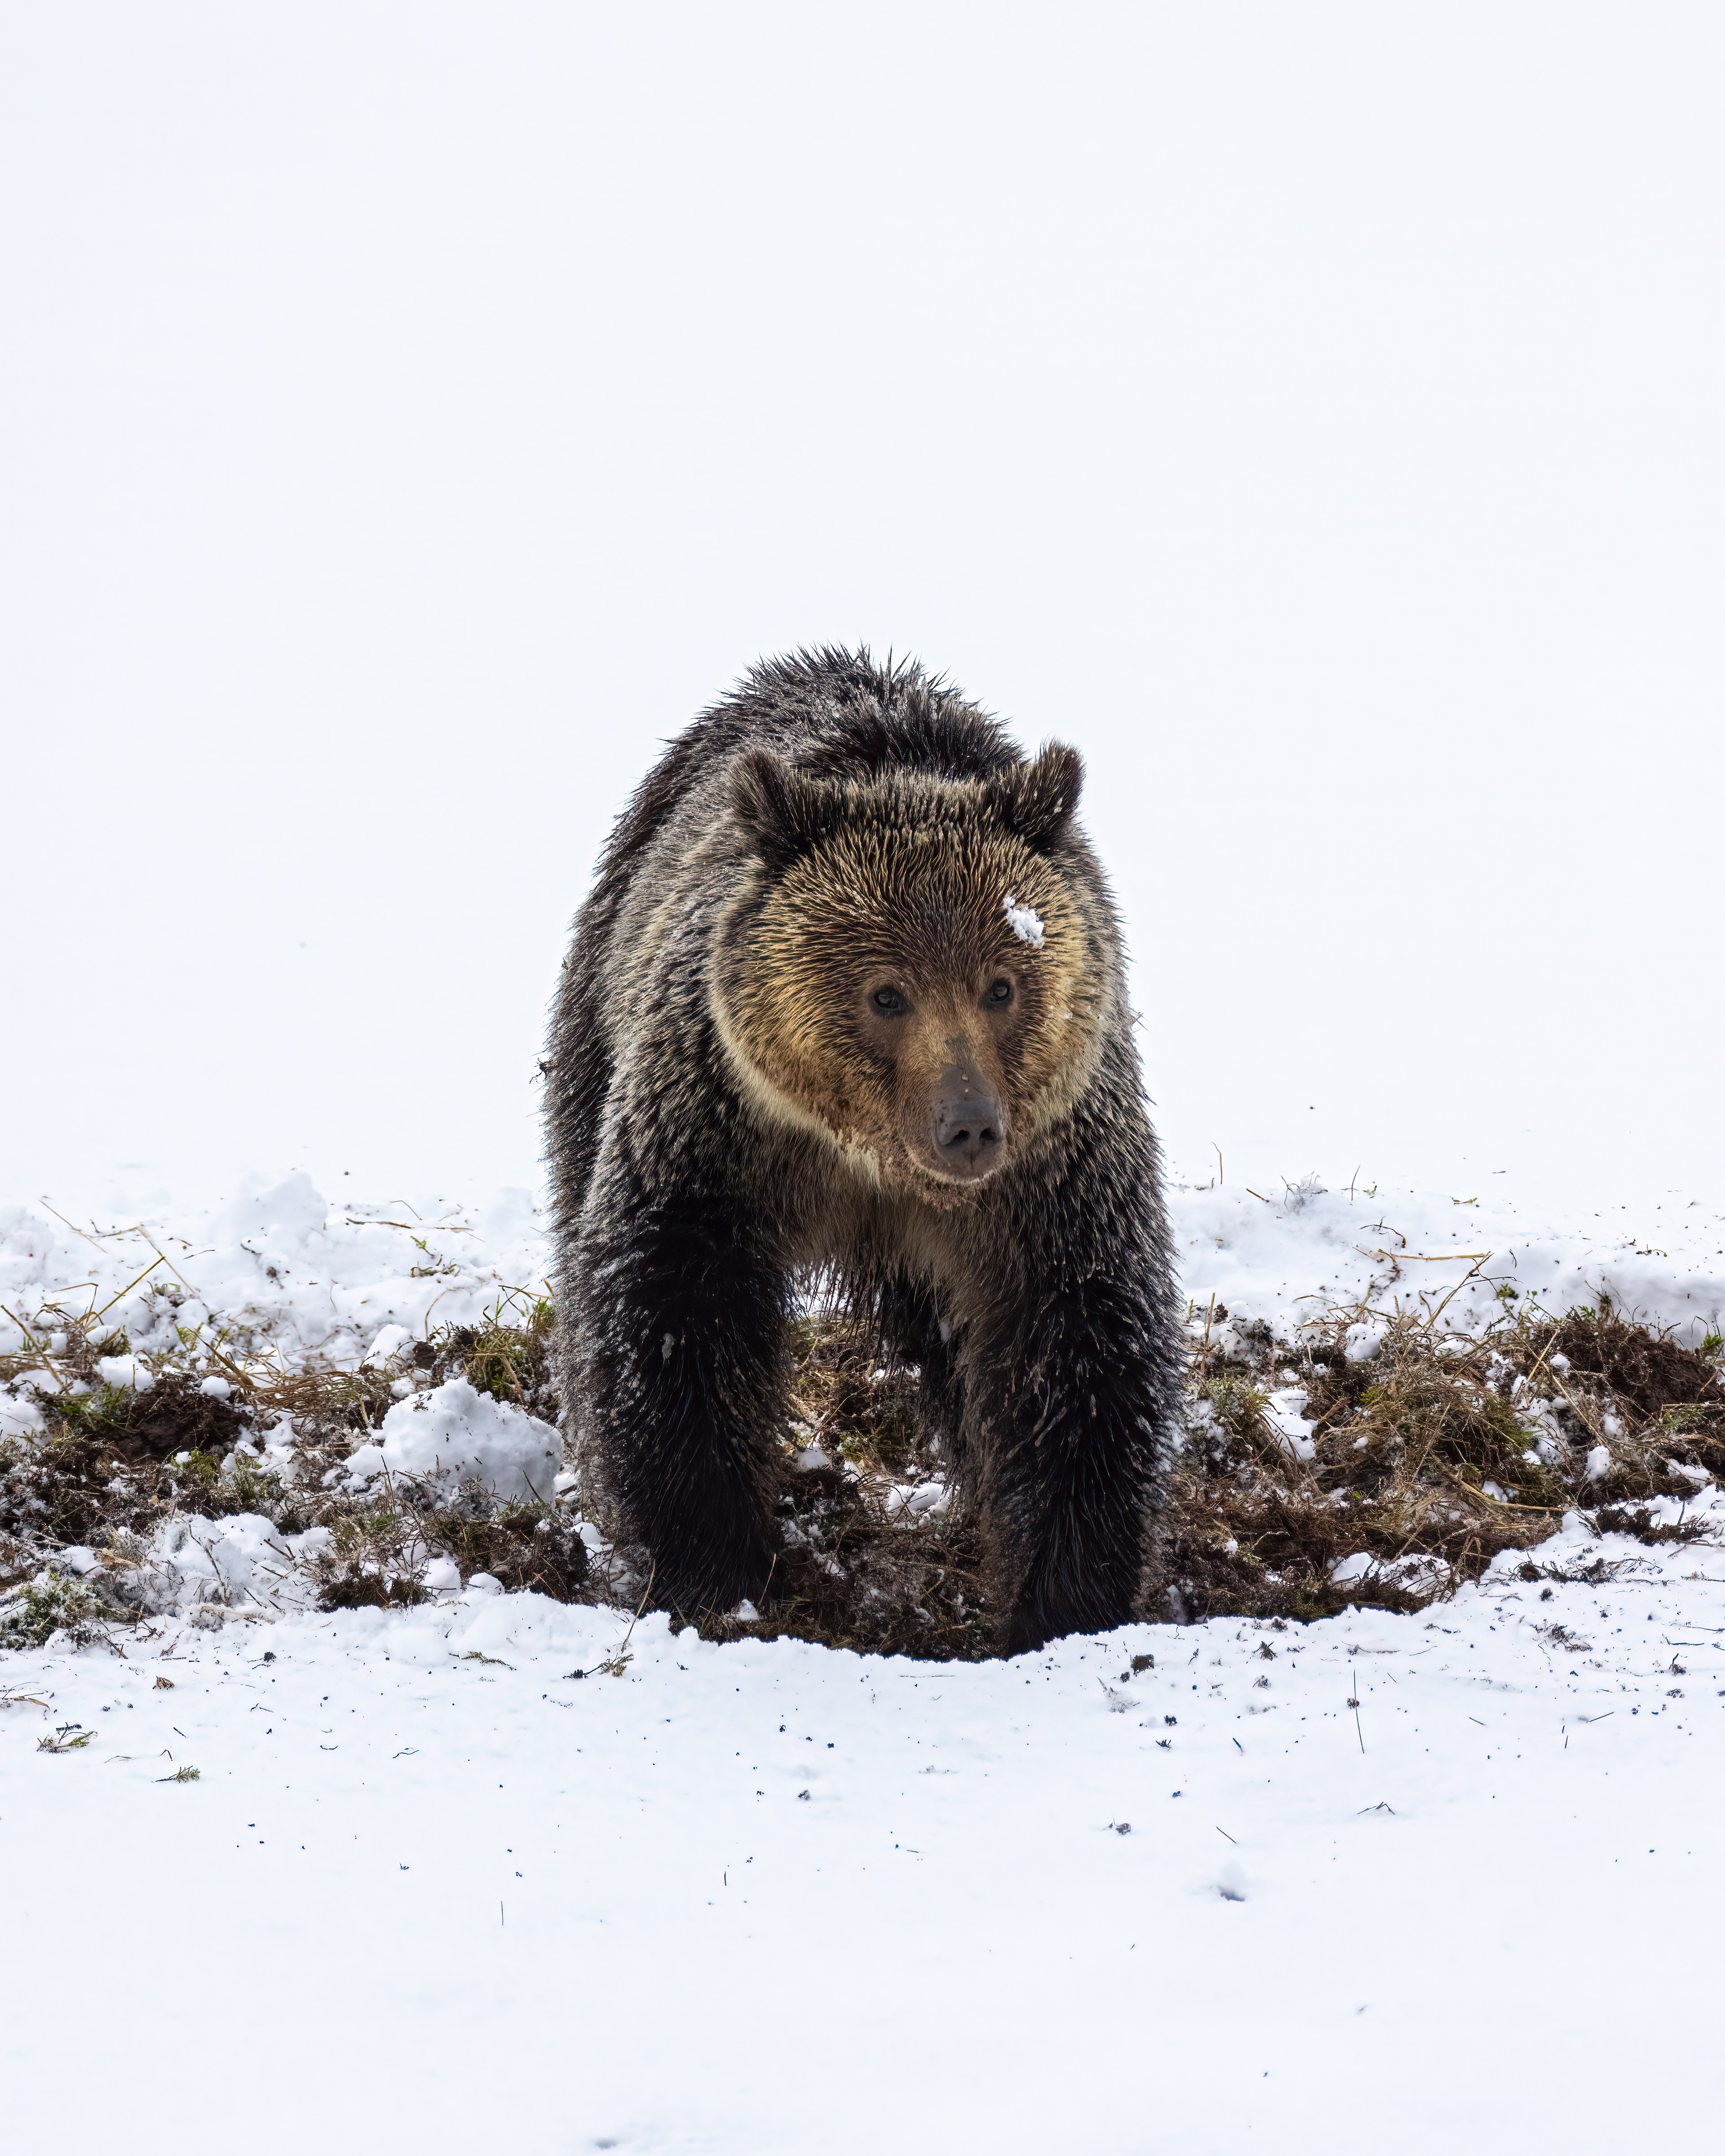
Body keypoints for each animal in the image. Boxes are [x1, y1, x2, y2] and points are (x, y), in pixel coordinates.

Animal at [545, 647, 1182, 1653]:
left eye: (1002, 983)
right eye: (888, 993)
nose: (968, 1124)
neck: (869, 1160)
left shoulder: (1053, 1167)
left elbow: (1077, 1336)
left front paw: (1068, 1600)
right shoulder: (720, 1132)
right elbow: (667, 1306)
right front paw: (711, 1564)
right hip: (601, 1015)